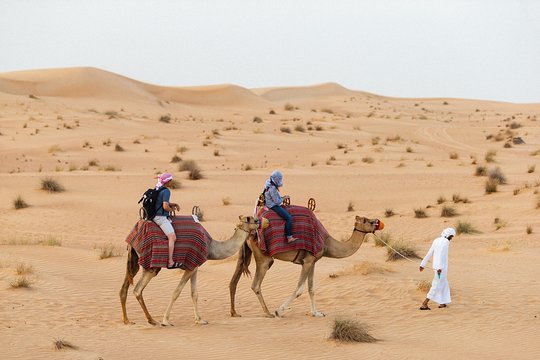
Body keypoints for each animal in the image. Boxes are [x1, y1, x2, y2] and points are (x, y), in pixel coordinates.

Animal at [119, 215, 264, 328]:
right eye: (250, 219)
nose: (259, 221)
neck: (211, 246)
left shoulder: (195, 266)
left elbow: (194, 294)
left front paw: (200, 320)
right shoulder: (190, 265)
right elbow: (176, 292)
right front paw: (166, 320)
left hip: (133, 261)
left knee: (124, 289)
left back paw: (127, 320)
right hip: (152, 265)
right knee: (137, 289)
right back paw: (152, 320)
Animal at [230, 215, 382, 316]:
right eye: (367, 220)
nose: (377, 222)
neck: (327, 243)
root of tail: (250, 234)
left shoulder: (312, 261)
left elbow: (311, 288)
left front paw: (316, 313)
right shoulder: (308, 261)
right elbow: (299, 289)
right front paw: (279, 310)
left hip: (245, 255)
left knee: (234, 282)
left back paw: (234, 312)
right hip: (263, 258)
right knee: (256, 284)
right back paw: (268, 313)